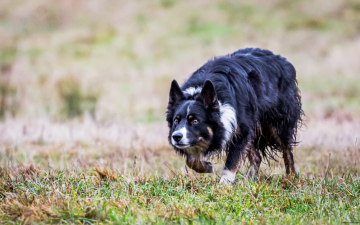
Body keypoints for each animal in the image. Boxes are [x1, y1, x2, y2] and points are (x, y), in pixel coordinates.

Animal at [167, 47, 302, 185]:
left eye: (195, 121)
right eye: (176, 120)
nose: (176, 137)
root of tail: (281, 59)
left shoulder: (242, 130)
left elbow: (231, 163)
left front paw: (223, 186)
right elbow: (190, 158)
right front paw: (206, 167)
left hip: (277, 123)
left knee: (287, 150)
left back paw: (291, 178)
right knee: (257, 157)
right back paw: (248, 183)